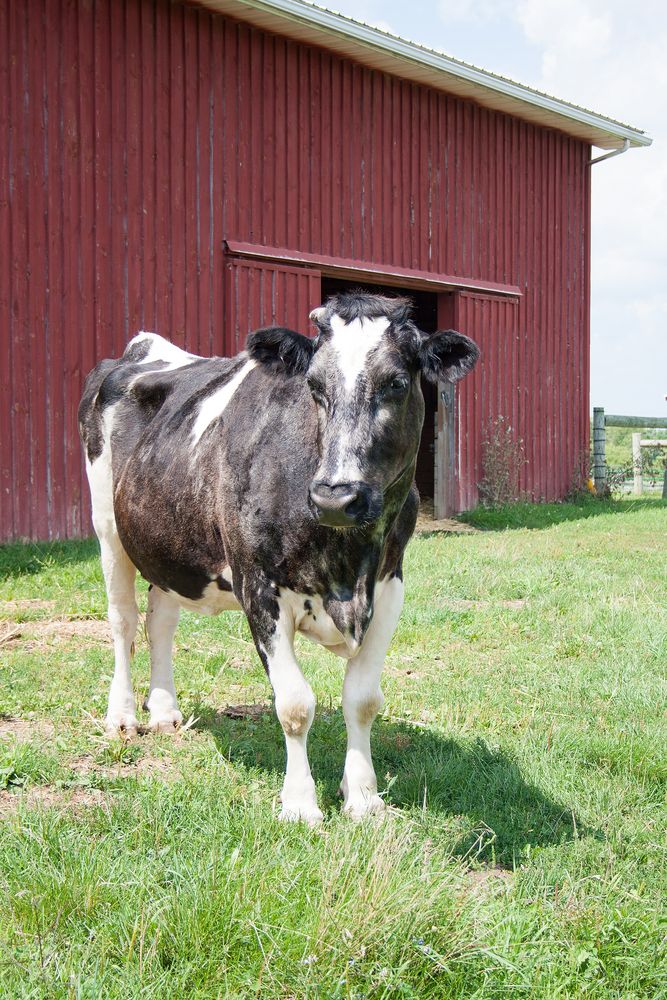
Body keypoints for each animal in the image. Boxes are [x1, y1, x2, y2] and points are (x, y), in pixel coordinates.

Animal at [79, 292, 478, 824]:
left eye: (396, 382)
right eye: (312, 385)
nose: (335, 498)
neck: (346, 568)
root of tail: (145, 346)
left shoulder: (390, 583)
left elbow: (362, 699)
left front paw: (363, 797)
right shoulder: (258, 587)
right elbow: (294, 704)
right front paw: (301, 803)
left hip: (168, 538)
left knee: (160, 619)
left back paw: (164, 712)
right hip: (108, 525)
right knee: (122, 621)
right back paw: (121, 716)